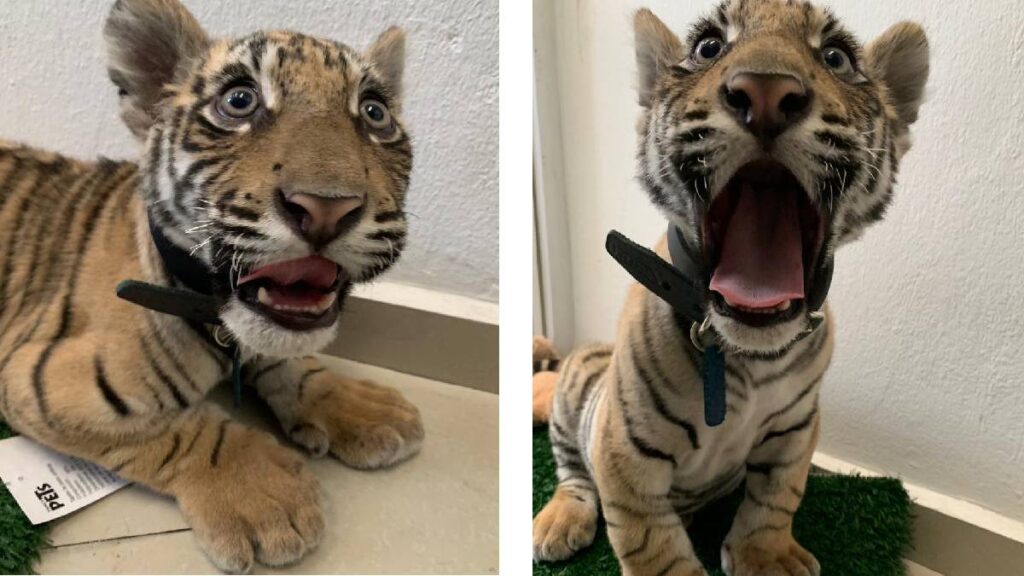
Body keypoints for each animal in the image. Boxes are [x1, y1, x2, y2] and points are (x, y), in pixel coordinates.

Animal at [0, 0, 424, 572]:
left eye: (375, 112)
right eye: (239, 101)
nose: (326, 209)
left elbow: (292, 363)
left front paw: (359, 405)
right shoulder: (42, 382)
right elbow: (178, 430)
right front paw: (266, 498)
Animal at [532, 1, 929, 575]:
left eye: (836, 57)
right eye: (709, 48)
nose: (765, 92)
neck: (745, 355)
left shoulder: (795, 430)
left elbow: (777, 497)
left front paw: (766, 556)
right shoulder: (623, 450)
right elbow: (650, 541)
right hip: (577, 387)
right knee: (572, 472)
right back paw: (558, 523)